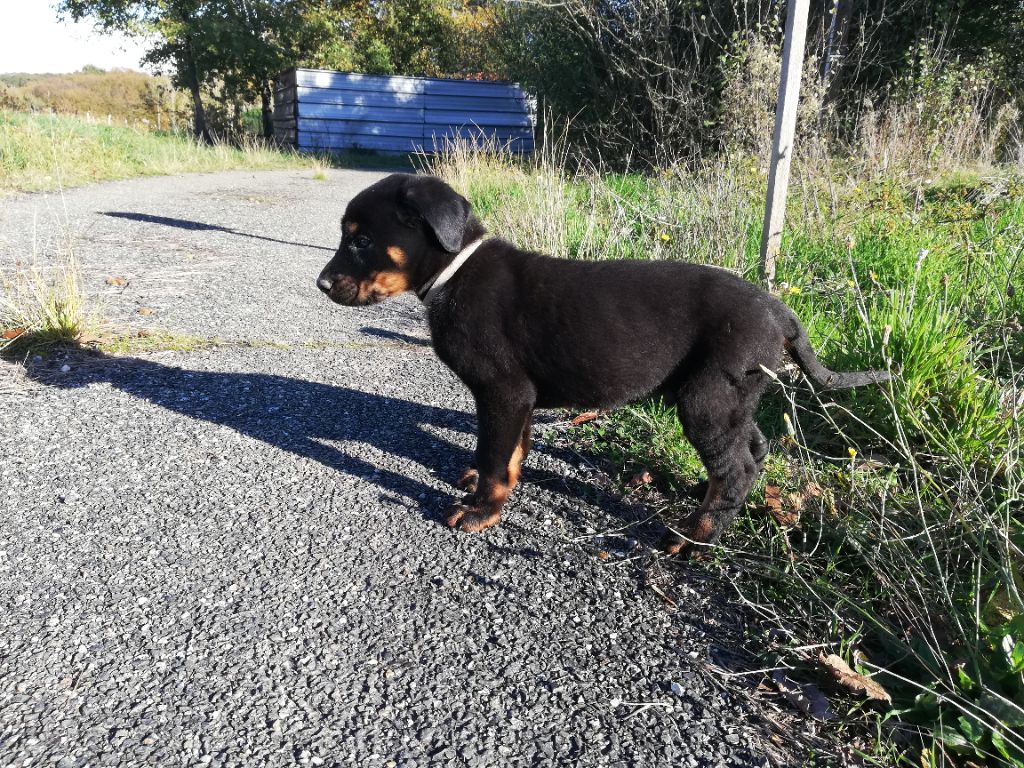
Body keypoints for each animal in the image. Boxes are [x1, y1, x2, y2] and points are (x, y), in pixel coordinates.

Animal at [316, 173, 889, 553]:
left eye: (361, 239)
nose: (321, 284)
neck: (454, 271)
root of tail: (781, 311)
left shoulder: (503, 392)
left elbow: (496, 455)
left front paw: (482, 511)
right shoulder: (519, 399)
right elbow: (512, 451)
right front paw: (490, 487)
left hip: (707, 397)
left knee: (739, 465)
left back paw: (693, 537)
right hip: (733, 398)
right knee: (752, 449)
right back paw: (704, 503)